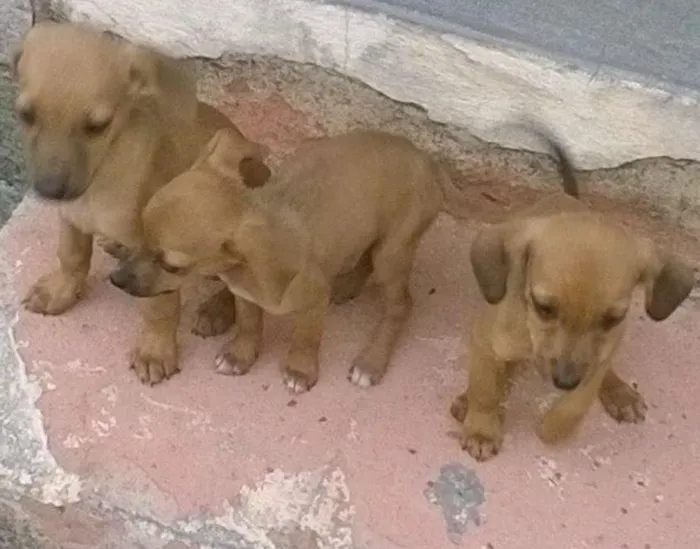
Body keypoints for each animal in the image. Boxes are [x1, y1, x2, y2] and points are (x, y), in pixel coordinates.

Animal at [13, 22, 272, 386]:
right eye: (25, 115)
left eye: (97, 125)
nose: (50, 191)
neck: (101, 177)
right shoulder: (72, 219)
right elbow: (72, 258)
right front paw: (61, 291)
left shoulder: (157, 259)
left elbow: (158, 308)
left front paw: (155, 351)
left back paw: (217, 310)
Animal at [112, 127, 446, 394]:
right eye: (140, 233)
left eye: (172, 266)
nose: (115, 280)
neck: (243, 271)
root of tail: (428, 163)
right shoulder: (244, 296)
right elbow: (249, 325)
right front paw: (240, 355)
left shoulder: (313, 302)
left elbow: (305, 338)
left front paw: (300, 369)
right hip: (373, 234)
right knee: (365, 257)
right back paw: (349, 285)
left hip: (393, 251)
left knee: (401, 306)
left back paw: (371, 361)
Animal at [454, 126, 696, 460]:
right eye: (543, 307)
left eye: (612, 318)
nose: (565, 381)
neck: (531, 335)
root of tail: (568, 196)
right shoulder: (484, 341)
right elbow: (485, 389)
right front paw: (481, 428)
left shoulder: (600, 354)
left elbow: (578, 403)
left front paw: (554, 429)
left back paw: (619, 392)